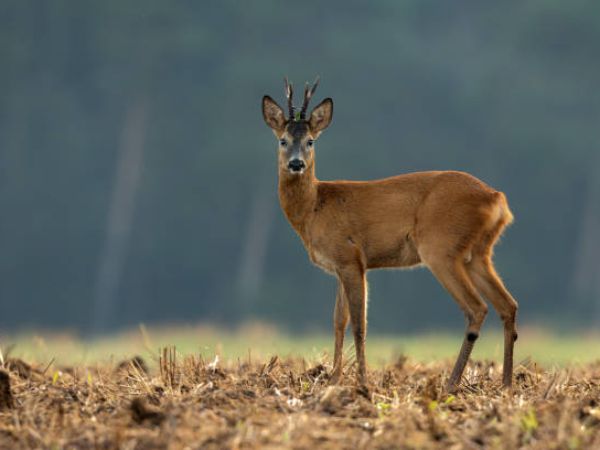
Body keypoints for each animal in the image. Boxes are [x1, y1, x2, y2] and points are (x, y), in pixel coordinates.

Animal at [260, 79, 516, 392]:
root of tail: (497, 199)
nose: (296, 164)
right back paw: (506, 385)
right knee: (508, 305)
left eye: (310, 141)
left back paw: (451, 384)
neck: (314, 207)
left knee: (477, 308)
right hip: (477, 253)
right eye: (282, 140)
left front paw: (362, 382)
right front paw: (333, 379)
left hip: (440, 248)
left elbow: (359, 324)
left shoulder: (351, 257)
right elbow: (338, 321)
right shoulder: (341, 266)